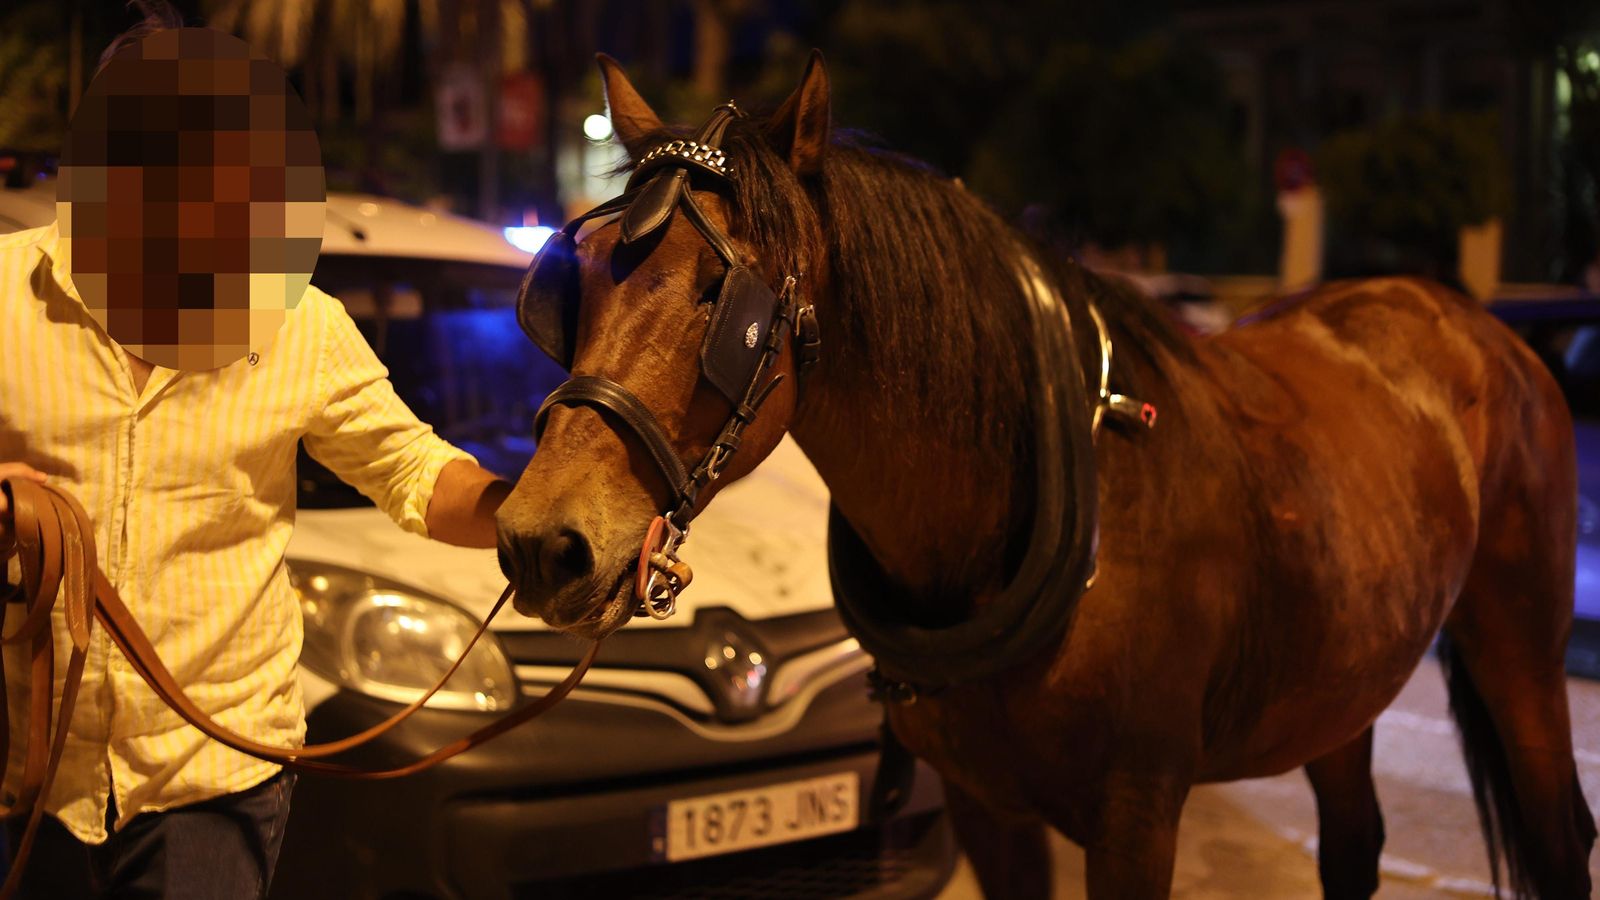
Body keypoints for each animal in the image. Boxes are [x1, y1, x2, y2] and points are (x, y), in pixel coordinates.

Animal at [493, 52, 1597, 899]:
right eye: (571, 288)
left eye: (723, 295)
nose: (542, 541)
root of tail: (1458, 312)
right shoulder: (989, 810)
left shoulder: (1138, 814)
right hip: (1338, 674)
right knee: (1355, 841)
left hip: (1518, 645)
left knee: (1558, 826)